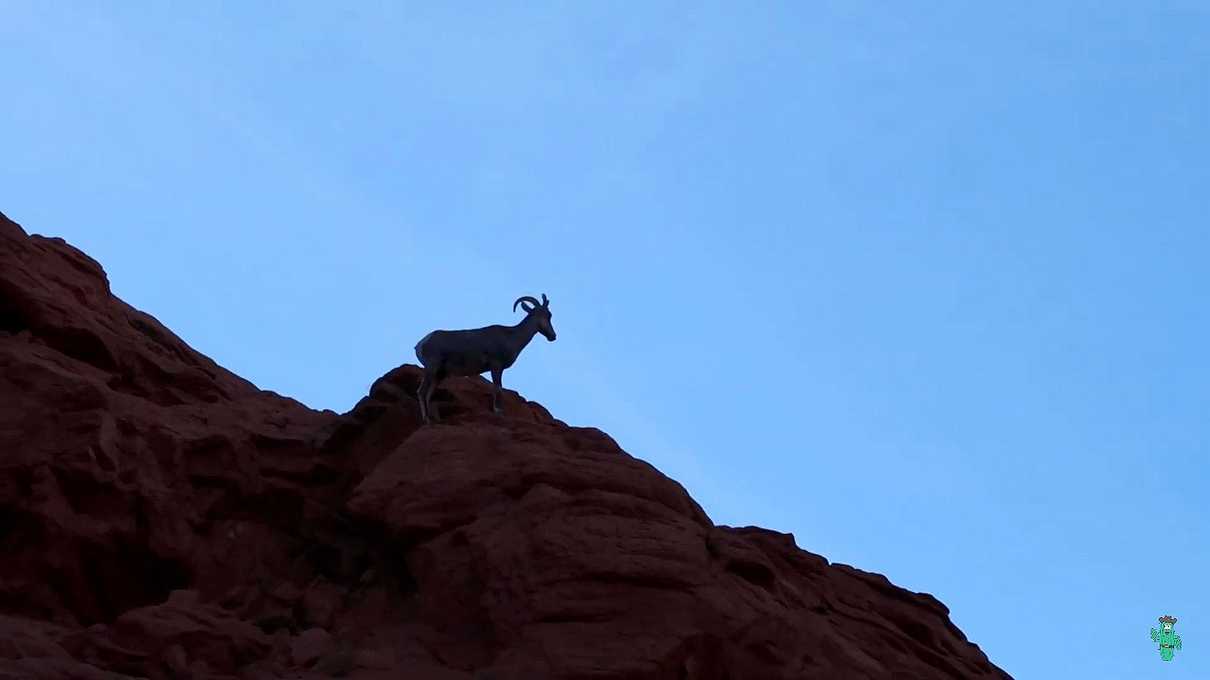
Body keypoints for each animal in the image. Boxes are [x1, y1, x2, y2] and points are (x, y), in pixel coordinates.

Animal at [411, 292, 554, 421]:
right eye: (543, 314)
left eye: (549, 315)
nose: (553, 336)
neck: (511, 337)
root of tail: (421, 344)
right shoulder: (496, 366)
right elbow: (497, 389)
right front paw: (498, 411)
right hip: (431, 369)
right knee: (421, 392)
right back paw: (426, 419)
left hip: (439, 375)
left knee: (428, 394)